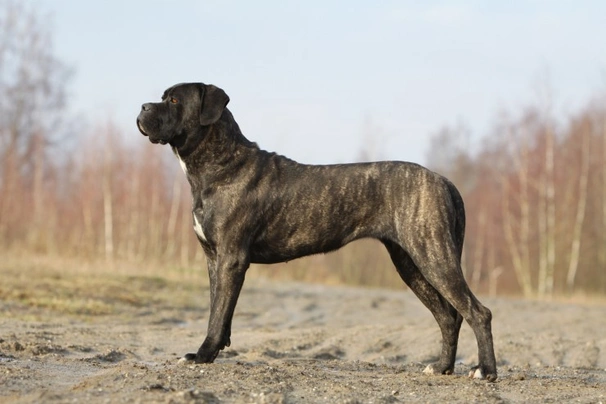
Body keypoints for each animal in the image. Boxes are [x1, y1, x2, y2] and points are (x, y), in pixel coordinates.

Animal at [137, 83, 498, 382]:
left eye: (174, 100)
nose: (142, 106)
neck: (222, 164)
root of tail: (444, 181)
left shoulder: (230, 259)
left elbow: (218, 312)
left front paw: (202, 355)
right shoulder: (214, 259)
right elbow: (219, 308)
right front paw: (213, 350)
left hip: (433, 255)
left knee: (478, 312)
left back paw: (486, 371)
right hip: (410, 263)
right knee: (449, 316)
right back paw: (442, 367)